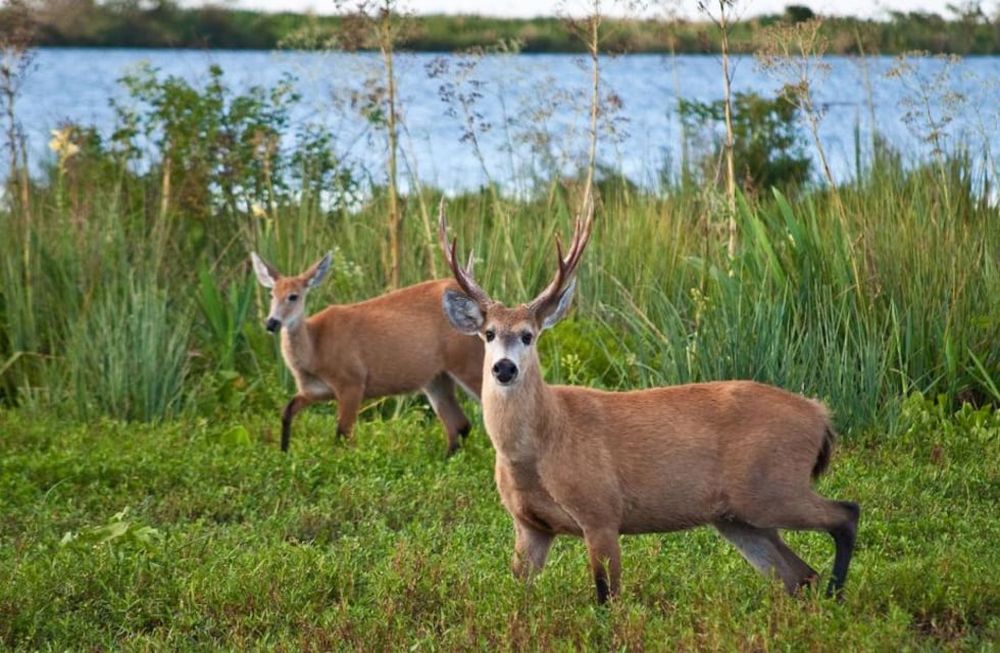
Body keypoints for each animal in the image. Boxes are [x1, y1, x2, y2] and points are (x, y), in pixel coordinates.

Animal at [250, 251, 484, 455]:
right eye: (271, 294)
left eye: (293, 296)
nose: (271, 323)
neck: (315, 350)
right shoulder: (314, 391)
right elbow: (286, 411)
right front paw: (283, 453)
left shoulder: (352, 381)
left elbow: (343, 433)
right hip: (436, 378)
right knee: (460, 424)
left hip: (469, 362)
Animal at [437, 200, 860, 604]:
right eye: (489, 333)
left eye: (528, 335)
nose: (504, 368)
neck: (542, 442)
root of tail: (820, 414)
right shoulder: (529, 526)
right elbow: (519, 593)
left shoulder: (601, 511)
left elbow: (607, 597)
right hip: (739, 517)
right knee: (800, 575)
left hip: (772, 486)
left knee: (845, 515)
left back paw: (837, 597)